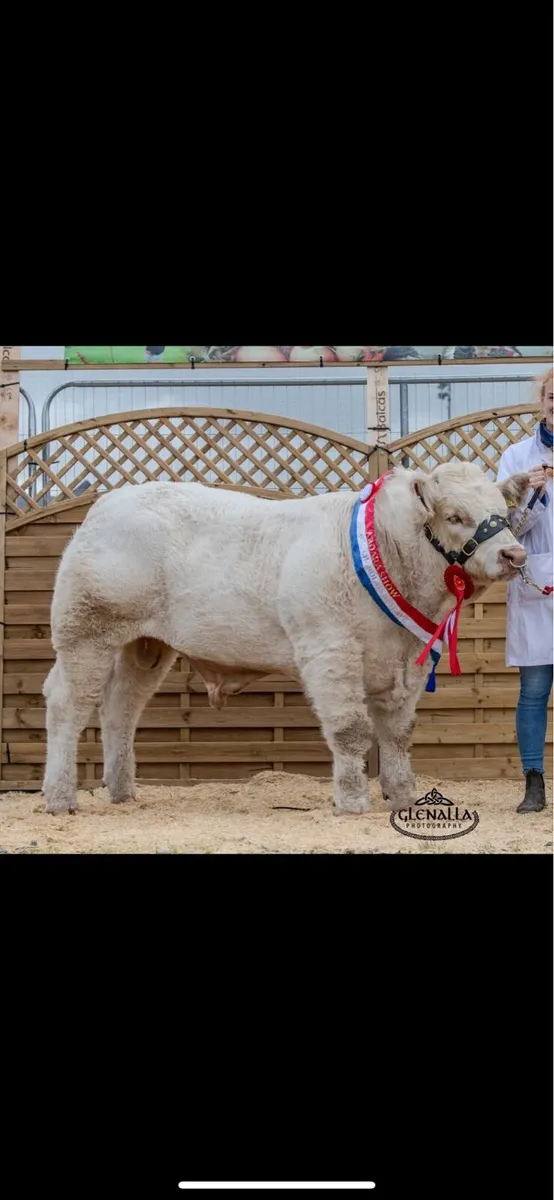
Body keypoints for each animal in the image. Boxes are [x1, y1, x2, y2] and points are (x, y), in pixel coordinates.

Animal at [41, 461, 530, 817]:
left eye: (503, 513)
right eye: (455, 516)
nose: (514, 554)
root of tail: (105, 505)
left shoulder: (407, 660)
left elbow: (398, 734)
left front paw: (404, 797)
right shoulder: (329, 649)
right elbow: (351, 730)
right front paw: (352, 802)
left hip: (145, 645)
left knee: (121, 707)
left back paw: (122, 792)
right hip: (86, 630)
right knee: (67, 704)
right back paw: (60, 798)